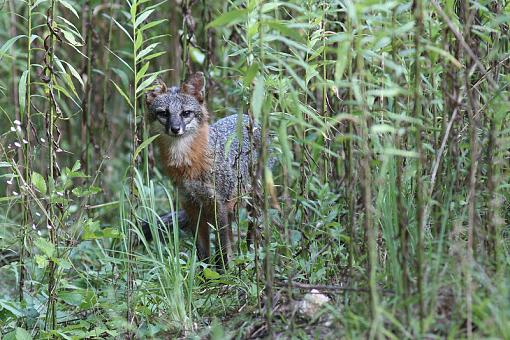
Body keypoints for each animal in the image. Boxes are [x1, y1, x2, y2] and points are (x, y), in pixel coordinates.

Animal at [144, 73, 260, 266]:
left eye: (185, 113)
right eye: (164, 113)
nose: (175, 129)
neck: (187, 164)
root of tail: (246, 117)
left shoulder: (217, 204)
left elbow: (222, 248)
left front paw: (224, 272)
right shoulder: (191, 205)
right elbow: (202, 251)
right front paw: (205, 272)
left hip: (252, 203)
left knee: (250, 235)